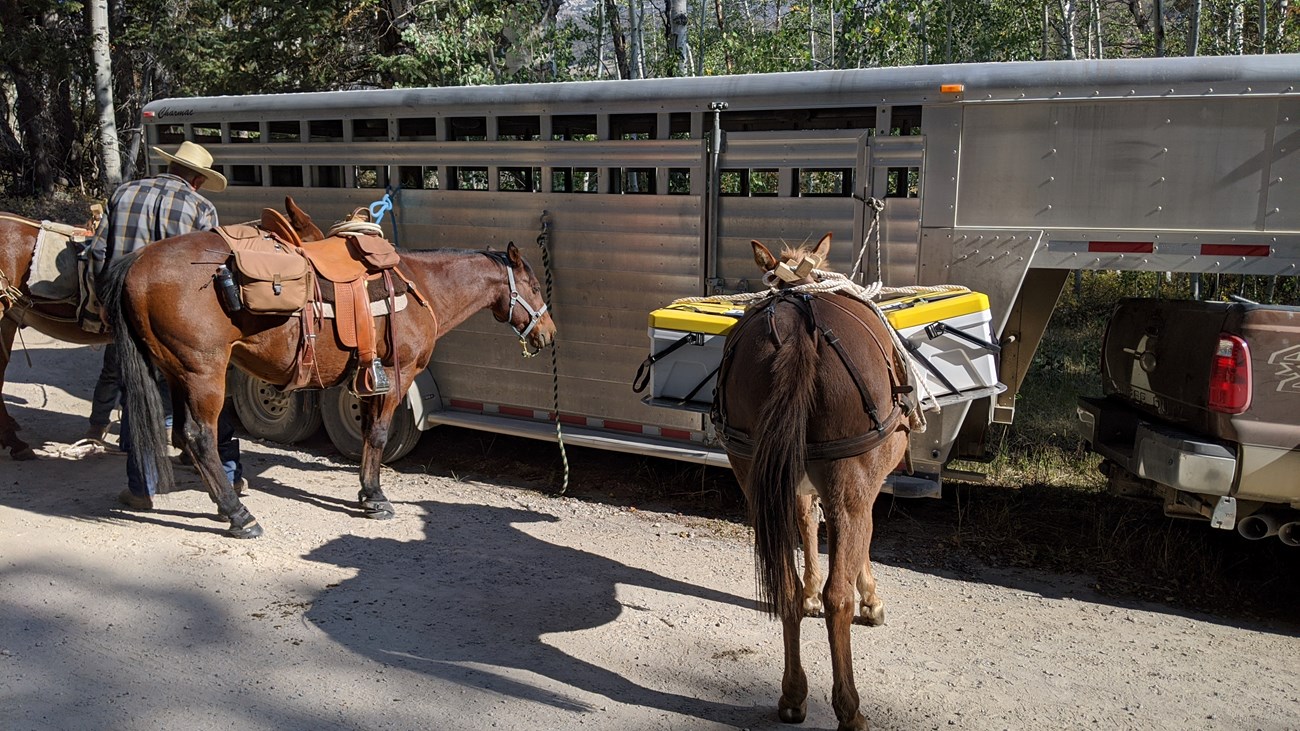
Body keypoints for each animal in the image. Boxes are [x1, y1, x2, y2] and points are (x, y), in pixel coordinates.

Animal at [97, 197, 553, 535]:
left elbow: (368, 433)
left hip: (174, 373)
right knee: (199, 437)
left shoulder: (368, 377)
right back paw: (238, 515)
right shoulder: (397, 375)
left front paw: (367, 493)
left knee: (174, 433)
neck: (422, 287)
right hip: (203, 375)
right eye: (533, 286)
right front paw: (376, 499)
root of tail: (136, 264)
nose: (548, 333)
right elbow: (379, 434)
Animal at [712, 232, 915, 728]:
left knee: (781, 588)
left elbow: (807, 528)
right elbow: (863, 544)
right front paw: (871, 599)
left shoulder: (795, 488)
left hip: (755, 477)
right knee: (837, 598)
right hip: (848, 483)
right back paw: (849, 707)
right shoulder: (863, 489)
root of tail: (798, 331)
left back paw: (792, 693)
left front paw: (806, 593)